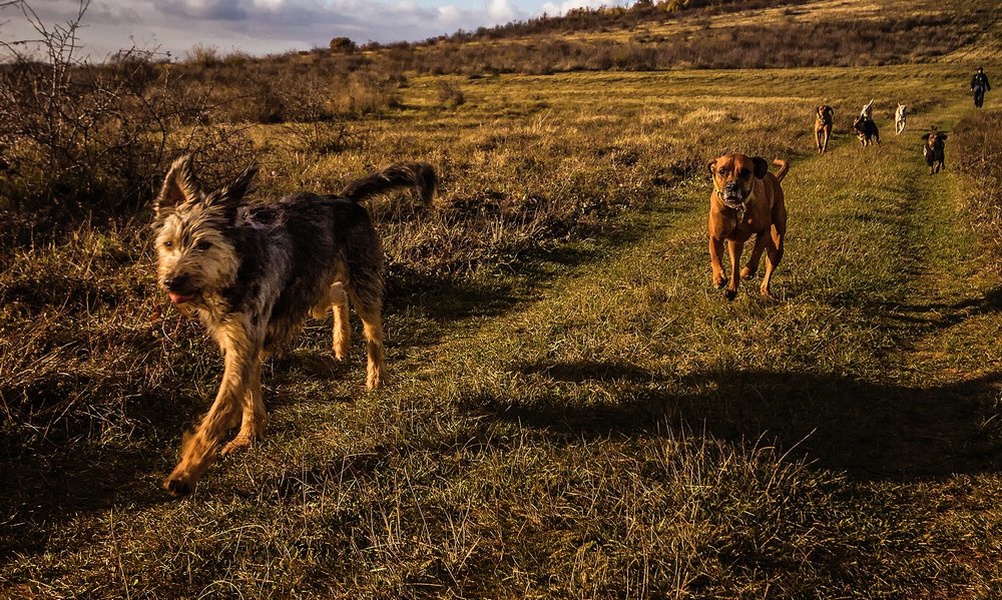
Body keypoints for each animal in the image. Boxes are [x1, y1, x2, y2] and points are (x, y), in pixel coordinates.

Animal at [705, 154, 789, 300]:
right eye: (722, 171)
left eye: (745, 172)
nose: (731, 186)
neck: (737, 207)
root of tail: (774, 179)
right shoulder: (716, 237)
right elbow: (715, 256)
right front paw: (718, 277)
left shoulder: (764, 232)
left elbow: (756, 253)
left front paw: (748, 272)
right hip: (735, 244)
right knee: (735, 267)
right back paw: (732, 290)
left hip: (777, 243)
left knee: (770, 263)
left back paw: (765, 290)